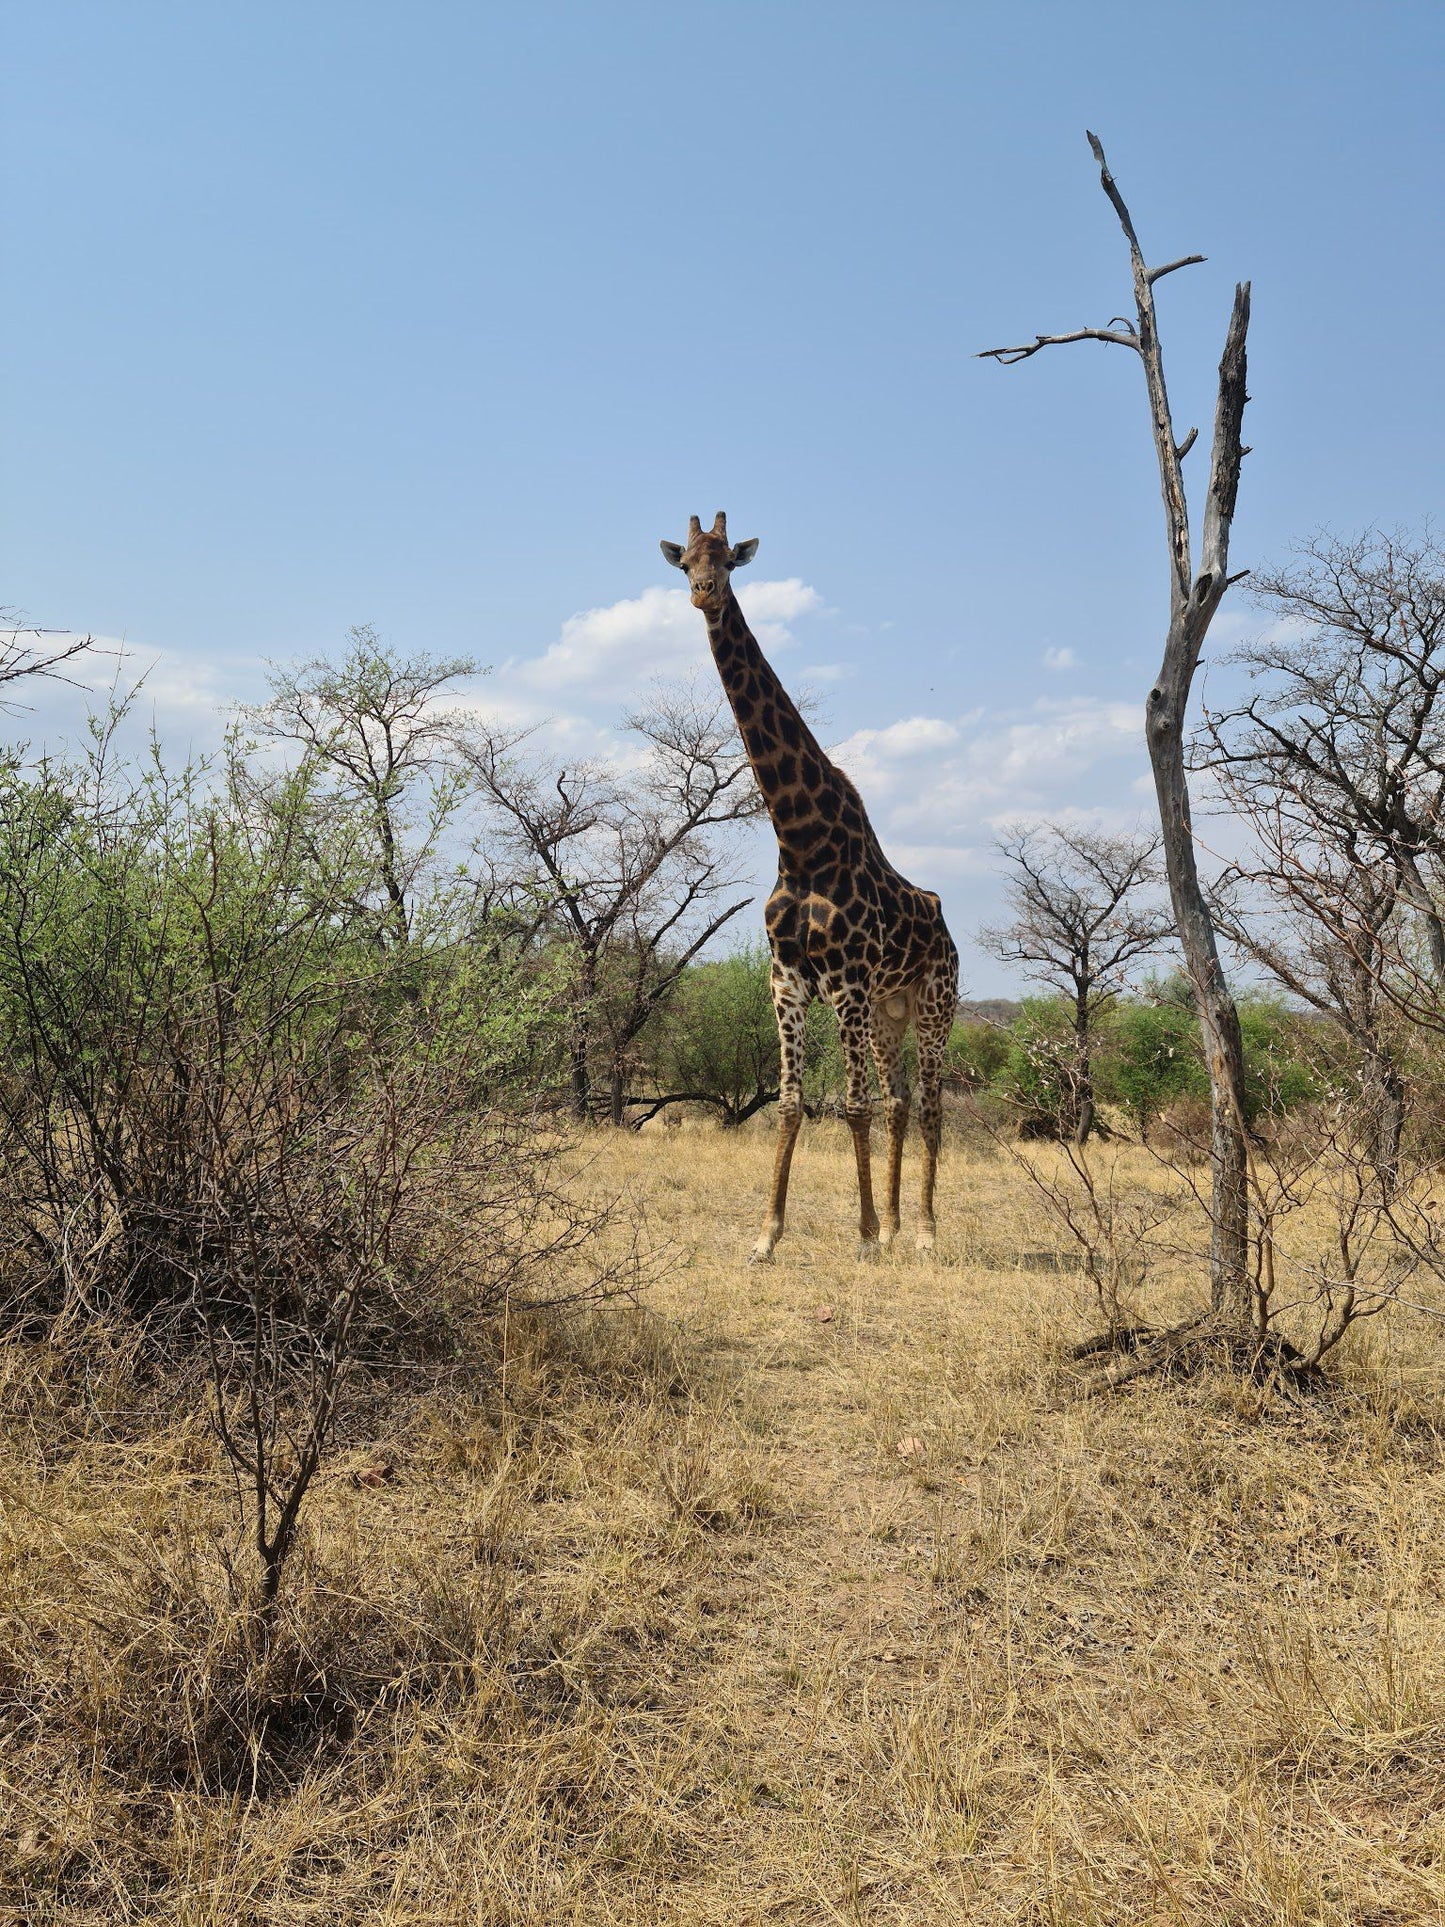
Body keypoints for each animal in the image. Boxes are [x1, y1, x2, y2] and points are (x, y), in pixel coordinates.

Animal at [666, 512, 963, 1264]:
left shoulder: (847, 981)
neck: (799, 839)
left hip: (933, 1003)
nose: (704, 594)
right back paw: (897, 1224)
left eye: (728, 562)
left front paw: (861, 1238)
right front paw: (767, 1236)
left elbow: (849, 1105)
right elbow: (791, 1101)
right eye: (683, 562)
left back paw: (923, 1231)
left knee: (931, 1103)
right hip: (890, 1012)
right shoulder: (788, 981)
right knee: (899, 1100)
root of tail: (945, 923)